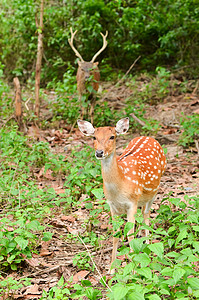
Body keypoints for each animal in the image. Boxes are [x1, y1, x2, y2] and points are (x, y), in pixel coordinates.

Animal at [77, 117, 166, 274]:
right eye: (94, 137)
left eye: (112, 136)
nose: (99, 152)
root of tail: (149, 137)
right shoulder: (112, 206)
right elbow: (116, 235)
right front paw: (112, 269)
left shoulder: (132, 203)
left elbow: (130, 236)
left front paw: (134, 270)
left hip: (155, 189)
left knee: (146, 214)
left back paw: (149, 245)